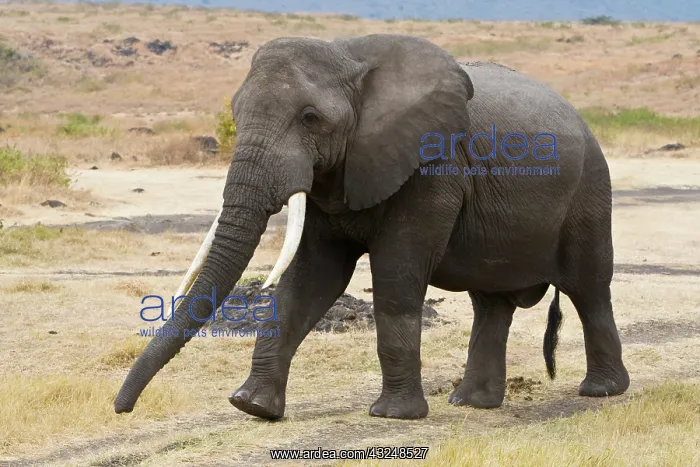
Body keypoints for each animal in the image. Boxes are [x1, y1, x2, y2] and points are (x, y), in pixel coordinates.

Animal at [114, 33, 630, 420]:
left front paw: (393, 416)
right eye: (236, 115)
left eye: (310, 118)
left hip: (589, 191)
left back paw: (601, 392)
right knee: (491, 303)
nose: (122, 408)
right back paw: (470, 402)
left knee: (588, 288)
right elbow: (311, 278)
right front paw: (252, 407)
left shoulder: (432, 166)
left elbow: (396, 273)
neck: (351, 60)